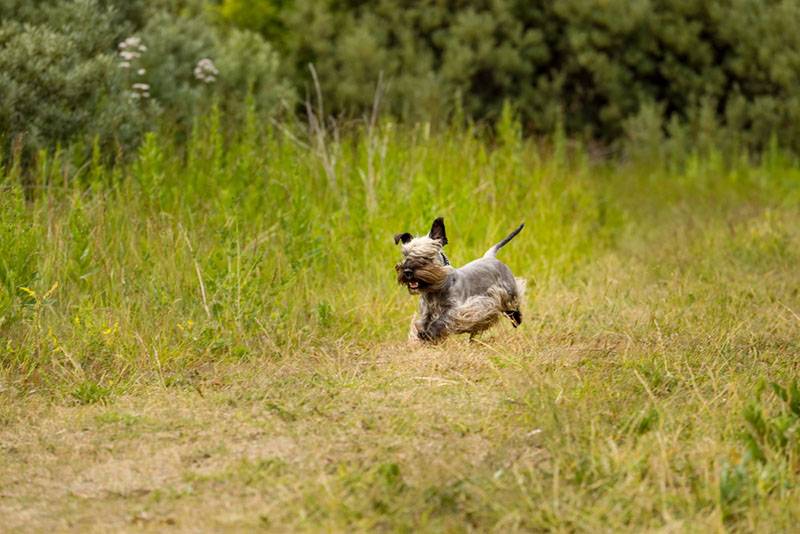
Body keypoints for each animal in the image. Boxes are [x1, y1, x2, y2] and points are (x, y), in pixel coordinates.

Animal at [394, 220, 524, 346]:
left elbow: (443, 319)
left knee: (513, 307)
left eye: (426, 256)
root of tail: (490, 257)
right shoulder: (426, 313)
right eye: (405, 255)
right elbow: (421, 324)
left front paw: (429, 333)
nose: (407, 271)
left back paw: (516, 320)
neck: (436, 286)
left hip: (509, 293)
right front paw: (421, 336)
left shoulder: (458, 309)